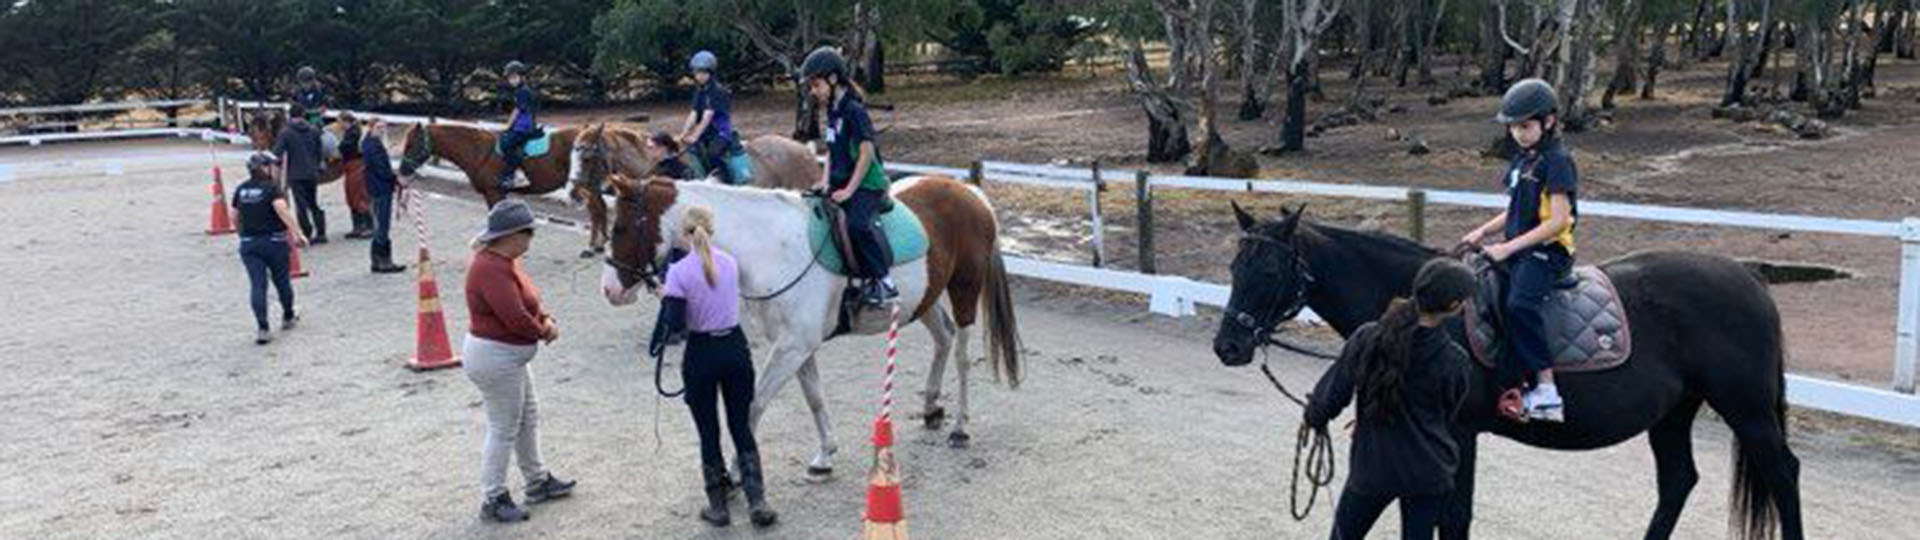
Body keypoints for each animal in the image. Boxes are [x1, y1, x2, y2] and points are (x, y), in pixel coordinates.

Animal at [1213, 202, 1797, 538]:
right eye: (1234, 266)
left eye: (1269, 270)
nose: (1228, 345)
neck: (1426, 307)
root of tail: (1750, 281)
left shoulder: (1460, 431)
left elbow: (1452, 516)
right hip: (1674, 412)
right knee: (1678, 481)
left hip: (1746, 409)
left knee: (1782, 474)